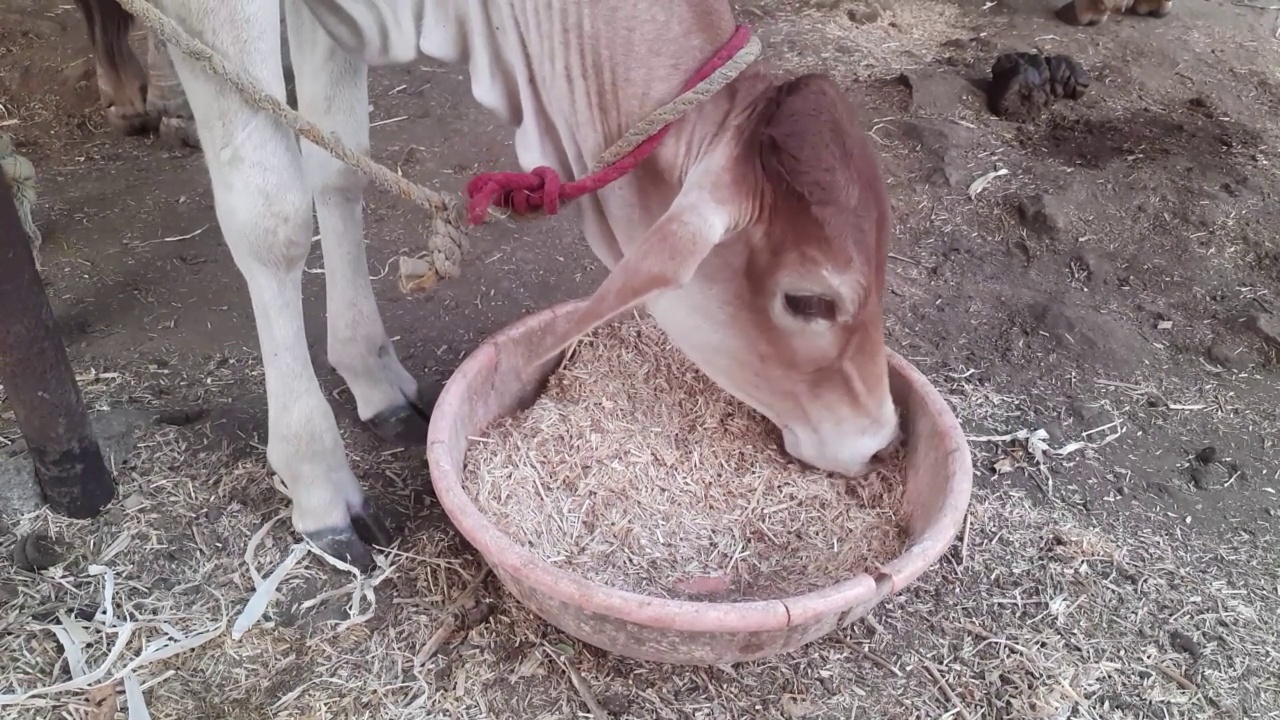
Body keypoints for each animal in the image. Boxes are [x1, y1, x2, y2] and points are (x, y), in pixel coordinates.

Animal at [74, 0, 896, 563]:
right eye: (810, 300)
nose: (880, 436)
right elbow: (270, 216)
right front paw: (316, 478)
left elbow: (338, 166)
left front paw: (372, 376)